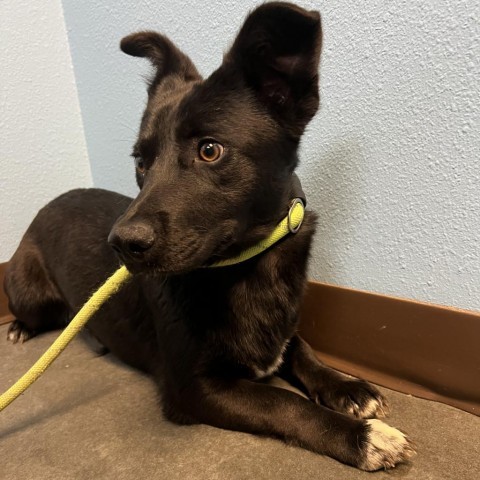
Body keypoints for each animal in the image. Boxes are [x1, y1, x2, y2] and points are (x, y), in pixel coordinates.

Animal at [3, 1, 414, 470]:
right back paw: (21, 328)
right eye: (141, 162)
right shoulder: (195, 389)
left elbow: (304, 351)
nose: (121, 244)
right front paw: (362, 437)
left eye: (210, 150)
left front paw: (348, 387)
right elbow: (284, 403)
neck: (245, 269)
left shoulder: (280, 334)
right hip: (29, 291)